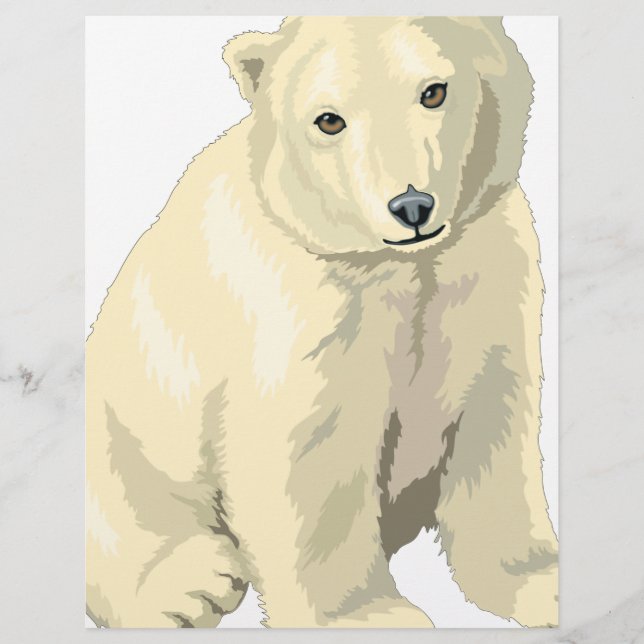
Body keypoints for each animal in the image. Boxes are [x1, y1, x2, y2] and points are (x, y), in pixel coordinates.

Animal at [86, 16, 558, 628]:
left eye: (433, 91)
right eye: (328, 119)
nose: (412, 206)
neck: (398, 265)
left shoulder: (486, 271)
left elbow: (494, 425)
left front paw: (541, 582)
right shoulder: (303, 310)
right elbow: (311, 455)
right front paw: (373, 618)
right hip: (126, 423)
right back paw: (191, 588)